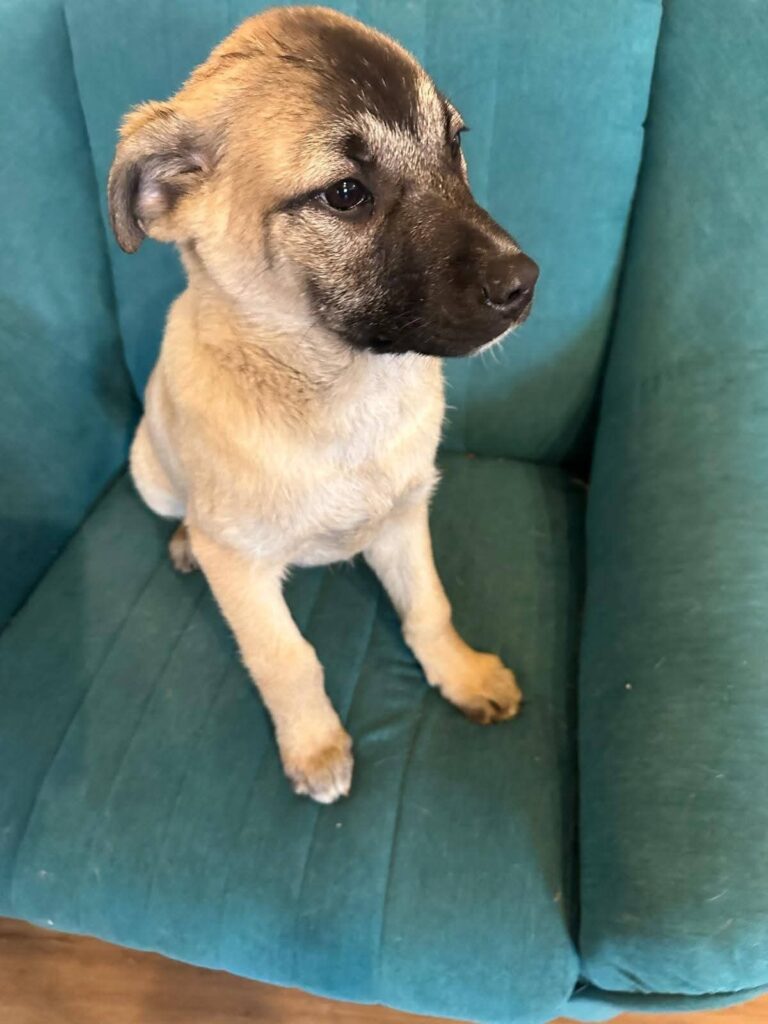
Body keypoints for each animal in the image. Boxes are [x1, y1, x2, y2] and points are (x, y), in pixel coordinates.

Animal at [108, 5, 539, 804]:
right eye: (345, 194)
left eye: (454, 145)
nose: (523, 283)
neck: (341, 395)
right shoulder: (243, 572)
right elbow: (287, 659)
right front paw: (313, 746)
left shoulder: (405, 517)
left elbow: (429, 607)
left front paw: (461, 674)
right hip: (149, 469)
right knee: (182, 516)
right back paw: (184, 543)